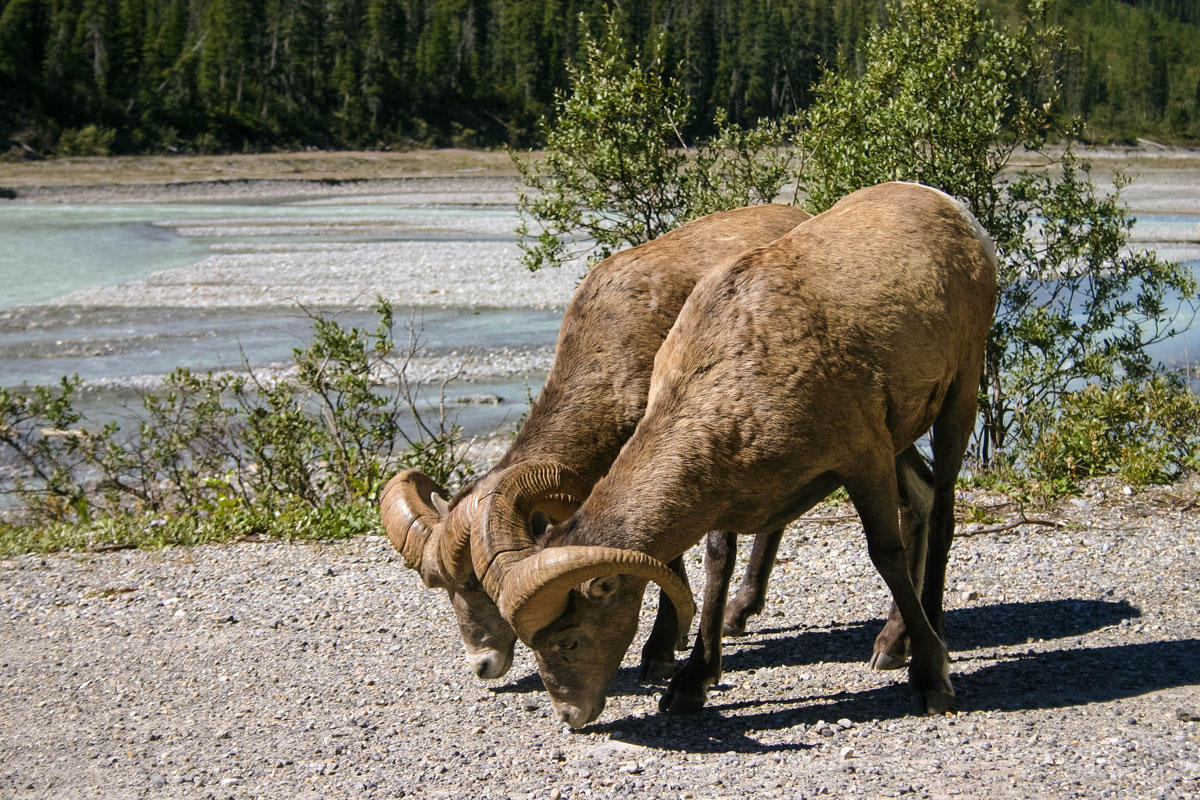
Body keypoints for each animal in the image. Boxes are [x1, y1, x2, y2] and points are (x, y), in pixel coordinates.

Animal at [472, 183, 998, 734]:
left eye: (569, 640)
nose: (571, 714)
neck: (741, 371)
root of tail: (947, 205)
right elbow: (718, 562)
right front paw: (691, 682)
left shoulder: (864, 458)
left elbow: (885, 556)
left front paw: (932, 680)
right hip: (905, 435)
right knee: (921, 499)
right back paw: (894, 642)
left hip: (959, 394)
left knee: (941, 511)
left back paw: (920, 641)